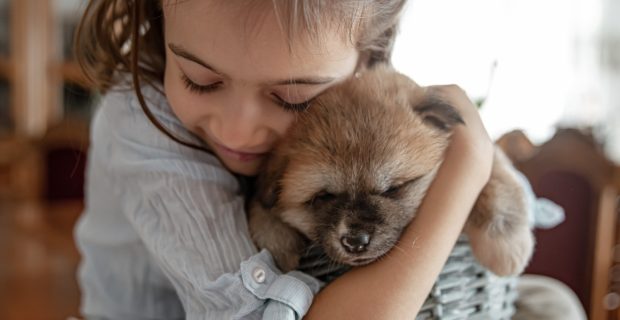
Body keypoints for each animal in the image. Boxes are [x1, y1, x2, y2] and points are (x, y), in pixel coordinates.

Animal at [247, 65, 532, 278]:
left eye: (393, 188)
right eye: (323, 197)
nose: (355, 241)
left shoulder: (490, 154)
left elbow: (499, 187)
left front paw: (505, 248)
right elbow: (261, 209)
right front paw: (276, 242)